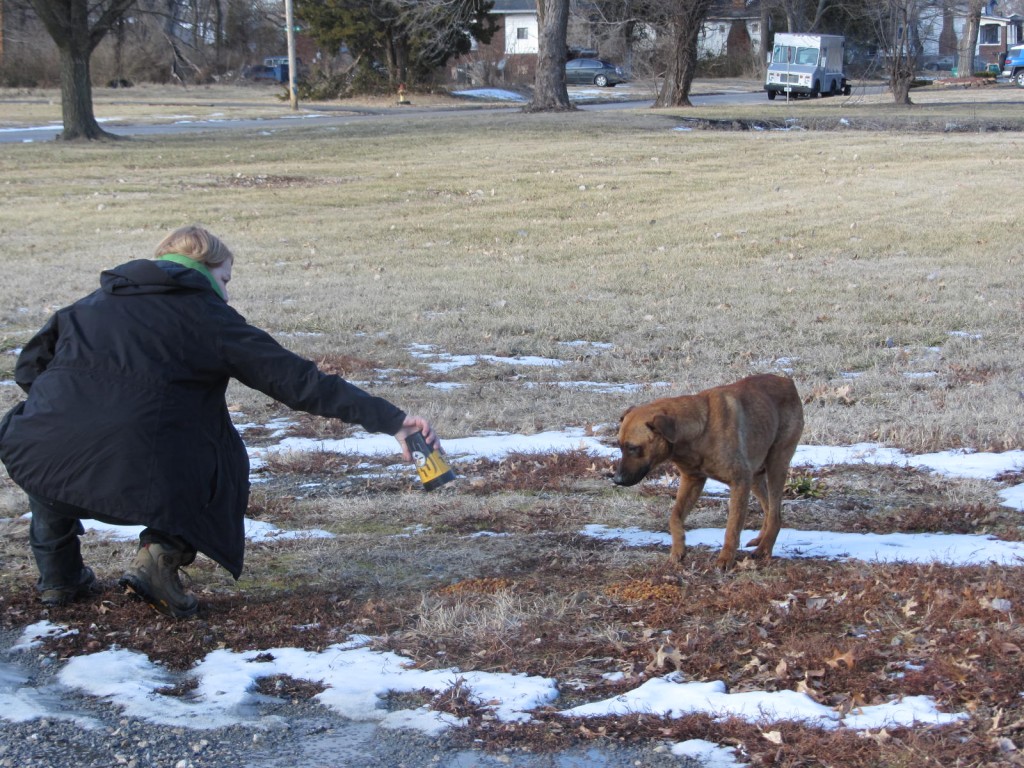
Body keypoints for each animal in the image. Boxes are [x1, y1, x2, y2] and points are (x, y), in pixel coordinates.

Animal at [610, 374, 802, 573]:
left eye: (633, 448)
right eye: (619, 446)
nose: (617, 480)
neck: (699, 432)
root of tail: (788, 381)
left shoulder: (740, 482)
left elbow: (732, 527)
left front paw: (725, 559)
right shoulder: (692, 480)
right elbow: (674, 516)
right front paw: (678, 549)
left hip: (776, 466)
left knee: (775, 515)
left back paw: (764, 549)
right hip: (756, 475)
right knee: (769, 508)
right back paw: (760, 540)